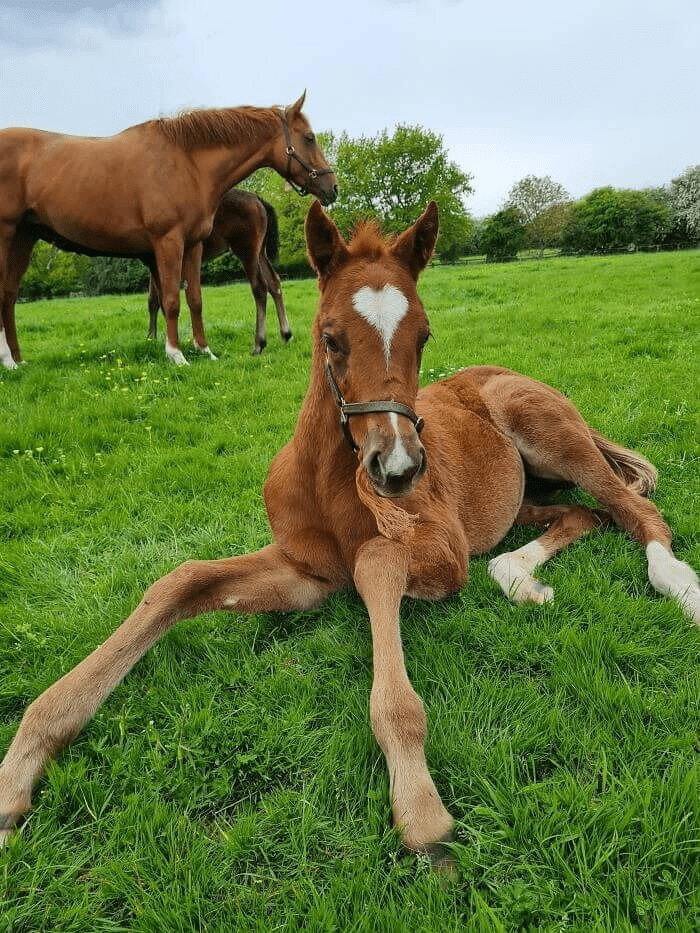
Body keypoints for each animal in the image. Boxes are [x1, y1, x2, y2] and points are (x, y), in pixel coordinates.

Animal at [146, 188, 292, 354]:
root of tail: (256, 198)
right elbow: (153, 300)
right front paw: (152, 339)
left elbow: (157, 300)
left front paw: (154, 338)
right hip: (260, 252)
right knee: (274, 283)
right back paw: (285, 335)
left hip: (247, 251)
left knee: (260, 287)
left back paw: (258, 344)